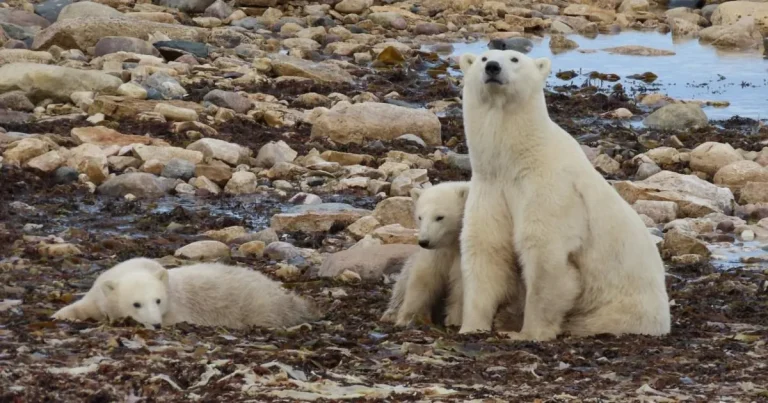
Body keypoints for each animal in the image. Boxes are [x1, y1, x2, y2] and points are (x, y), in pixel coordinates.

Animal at [52, 258, 321, 329]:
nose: (156, 325)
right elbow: (84, 306)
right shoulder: (100, 292)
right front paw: (58, 316)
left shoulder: (176, 308)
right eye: (136, 304)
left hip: (258, 305)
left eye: (158, 300)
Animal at [379, 181, 525, 331]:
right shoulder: (439, 252)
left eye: (439, 217)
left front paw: (454, 321)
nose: (424, 241)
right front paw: (406, 318)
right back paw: (391, 313)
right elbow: (423, 278)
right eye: (420, 217)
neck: (452, 243)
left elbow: (460, 286)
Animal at [456, 49, 671, 340]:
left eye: (514, 59)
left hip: (618, 310)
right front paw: (470, 327)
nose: (492, 67)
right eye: (483, 57)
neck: (516, 162)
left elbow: (546, 253)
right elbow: (486, 248)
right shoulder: (490, 188)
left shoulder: (553, 190)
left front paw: (527, 333)